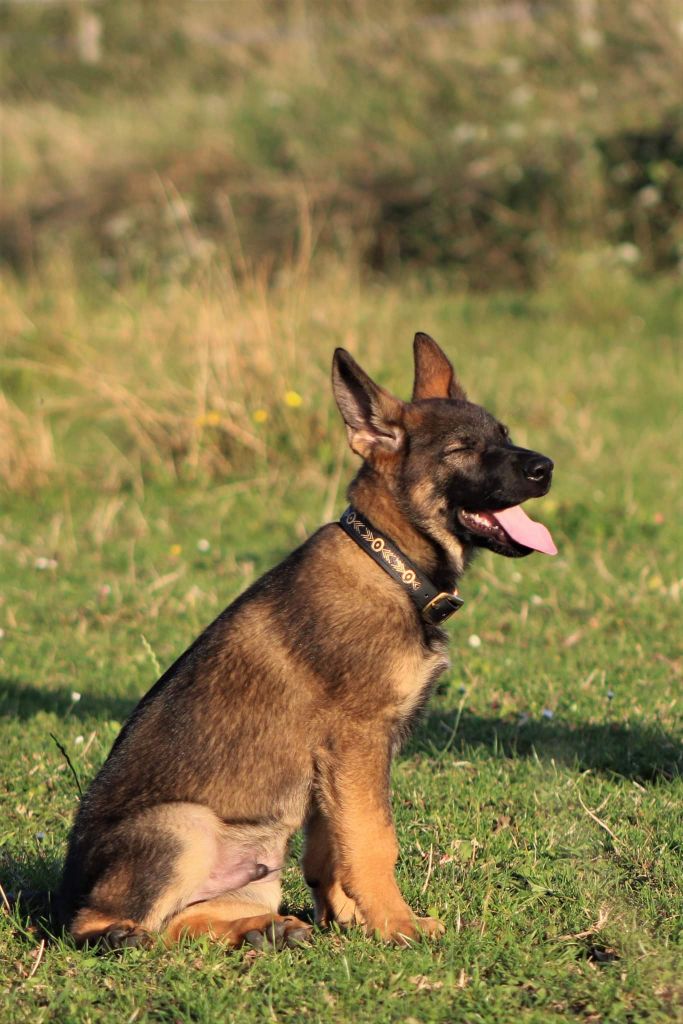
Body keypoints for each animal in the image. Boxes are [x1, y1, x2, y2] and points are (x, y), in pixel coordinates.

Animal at [57, 335, 557, 950]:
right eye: (463, 449)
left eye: (504, 435)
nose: (546, 468)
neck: (392, 563)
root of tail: (55, 901)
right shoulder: (356, 742)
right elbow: (374, 841)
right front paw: (395, 924)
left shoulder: (334, 769)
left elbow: (332, 851)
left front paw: (350, 919)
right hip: (183, 824)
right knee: (108, 924)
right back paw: (131, 936)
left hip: (257, 861)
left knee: (184, 922)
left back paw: (263, 930)